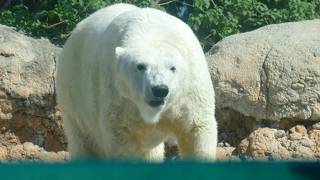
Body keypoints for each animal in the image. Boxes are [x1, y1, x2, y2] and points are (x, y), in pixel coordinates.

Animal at [57, 2, 218, 161]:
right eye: (140, 66)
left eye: (173, 68)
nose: (160, 90)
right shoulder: (119, 96)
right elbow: (122, 139)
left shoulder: (190, 91)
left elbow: (196, 129)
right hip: (74, 92)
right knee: (84, 140)